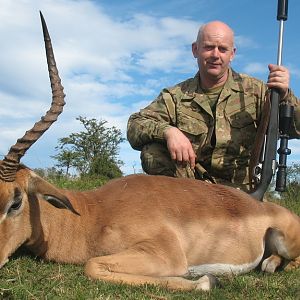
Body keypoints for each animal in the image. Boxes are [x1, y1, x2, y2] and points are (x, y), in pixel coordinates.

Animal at [0, 12, 300, 292]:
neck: (92, 216)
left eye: (15, 202)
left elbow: (92, 265)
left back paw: (269, 265)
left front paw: (206, 280)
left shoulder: (168, 254)